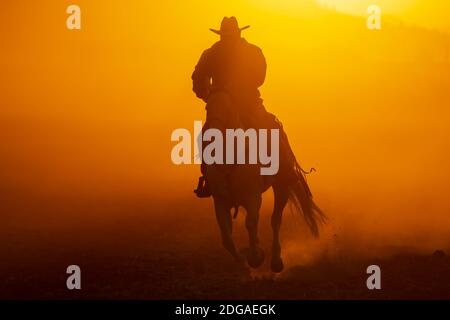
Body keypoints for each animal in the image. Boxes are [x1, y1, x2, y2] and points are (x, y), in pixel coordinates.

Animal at [202, 90, 326, 272]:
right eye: (207, 108)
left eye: (228, 107)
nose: (211, 137)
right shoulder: (220, 201)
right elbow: (226, 238)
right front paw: (243, 262)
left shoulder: (253, 196)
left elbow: (251, 222)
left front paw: (256, 257)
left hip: (282, 187)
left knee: (275, 220)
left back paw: (276, 260)